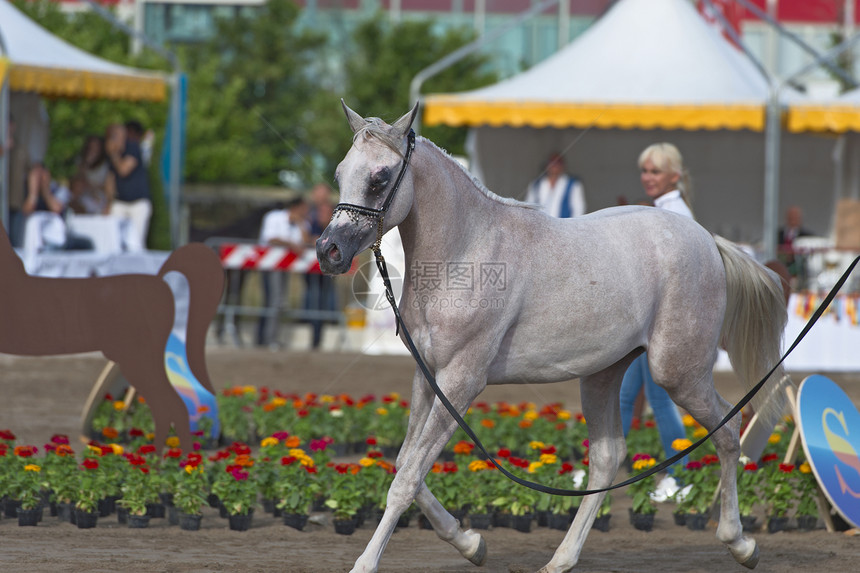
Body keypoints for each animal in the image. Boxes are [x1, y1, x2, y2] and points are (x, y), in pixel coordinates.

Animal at [316, 104, 788, 572]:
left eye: (379, 177)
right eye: (340, 172)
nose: (328, 251)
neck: (466, 253)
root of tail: (708, 239)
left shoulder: (460, 382)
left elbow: (408, 478)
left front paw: (366, 563)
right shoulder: (427, 377)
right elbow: (404, 464)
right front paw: (471, 543)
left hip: (679, 374)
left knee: (729, 430)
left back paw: (740, 543)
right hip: (602, 374)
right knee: (607, 457)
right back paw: (561, 559)